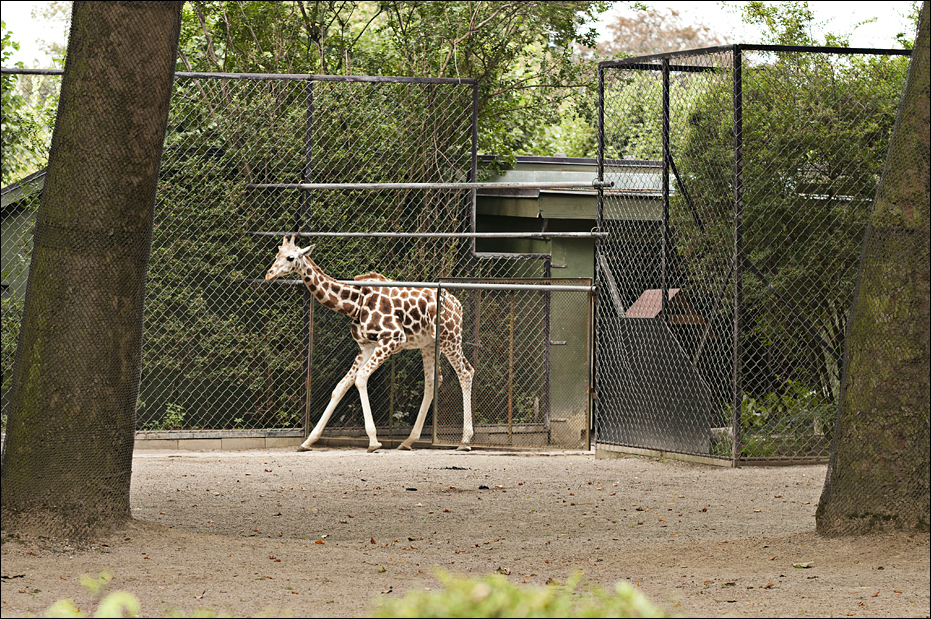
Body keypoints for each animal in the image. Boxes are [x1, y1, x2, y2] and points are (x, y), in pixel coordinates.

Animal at [265, 235, 475, 453]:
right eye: (277, 254)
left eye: (290, 257)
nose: (268, 274)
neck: (356, 303)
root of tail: (457, 305)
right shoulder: (366, 346)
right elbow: (341, 386)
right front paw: (308, 441)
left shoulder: (393, 338)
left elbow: (361, 378)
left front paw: (373, 441)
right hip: (429, 345)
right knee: (433, 381)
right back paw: (408, 440)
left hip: (450, 338)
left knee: (466, 372)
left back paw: (464, 441)